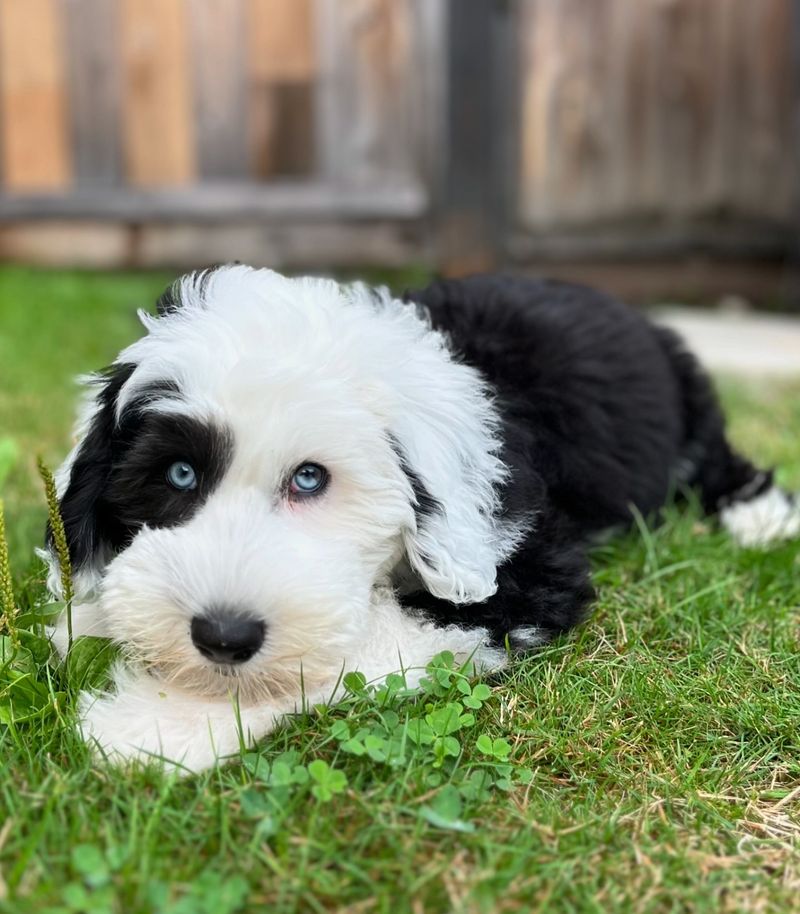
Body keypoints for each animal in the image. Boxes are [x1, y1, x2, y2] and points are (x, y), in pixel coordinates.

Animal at [47, 266, 796, 768]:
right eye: (179, 475)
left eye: (310, 478)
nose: (223, 636)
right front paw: (94, 623)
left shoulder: (519, 567)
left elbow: (351, 643)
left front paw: (159, 722)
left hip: (692, 406)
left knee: (718, 459)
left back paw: (759, 516)